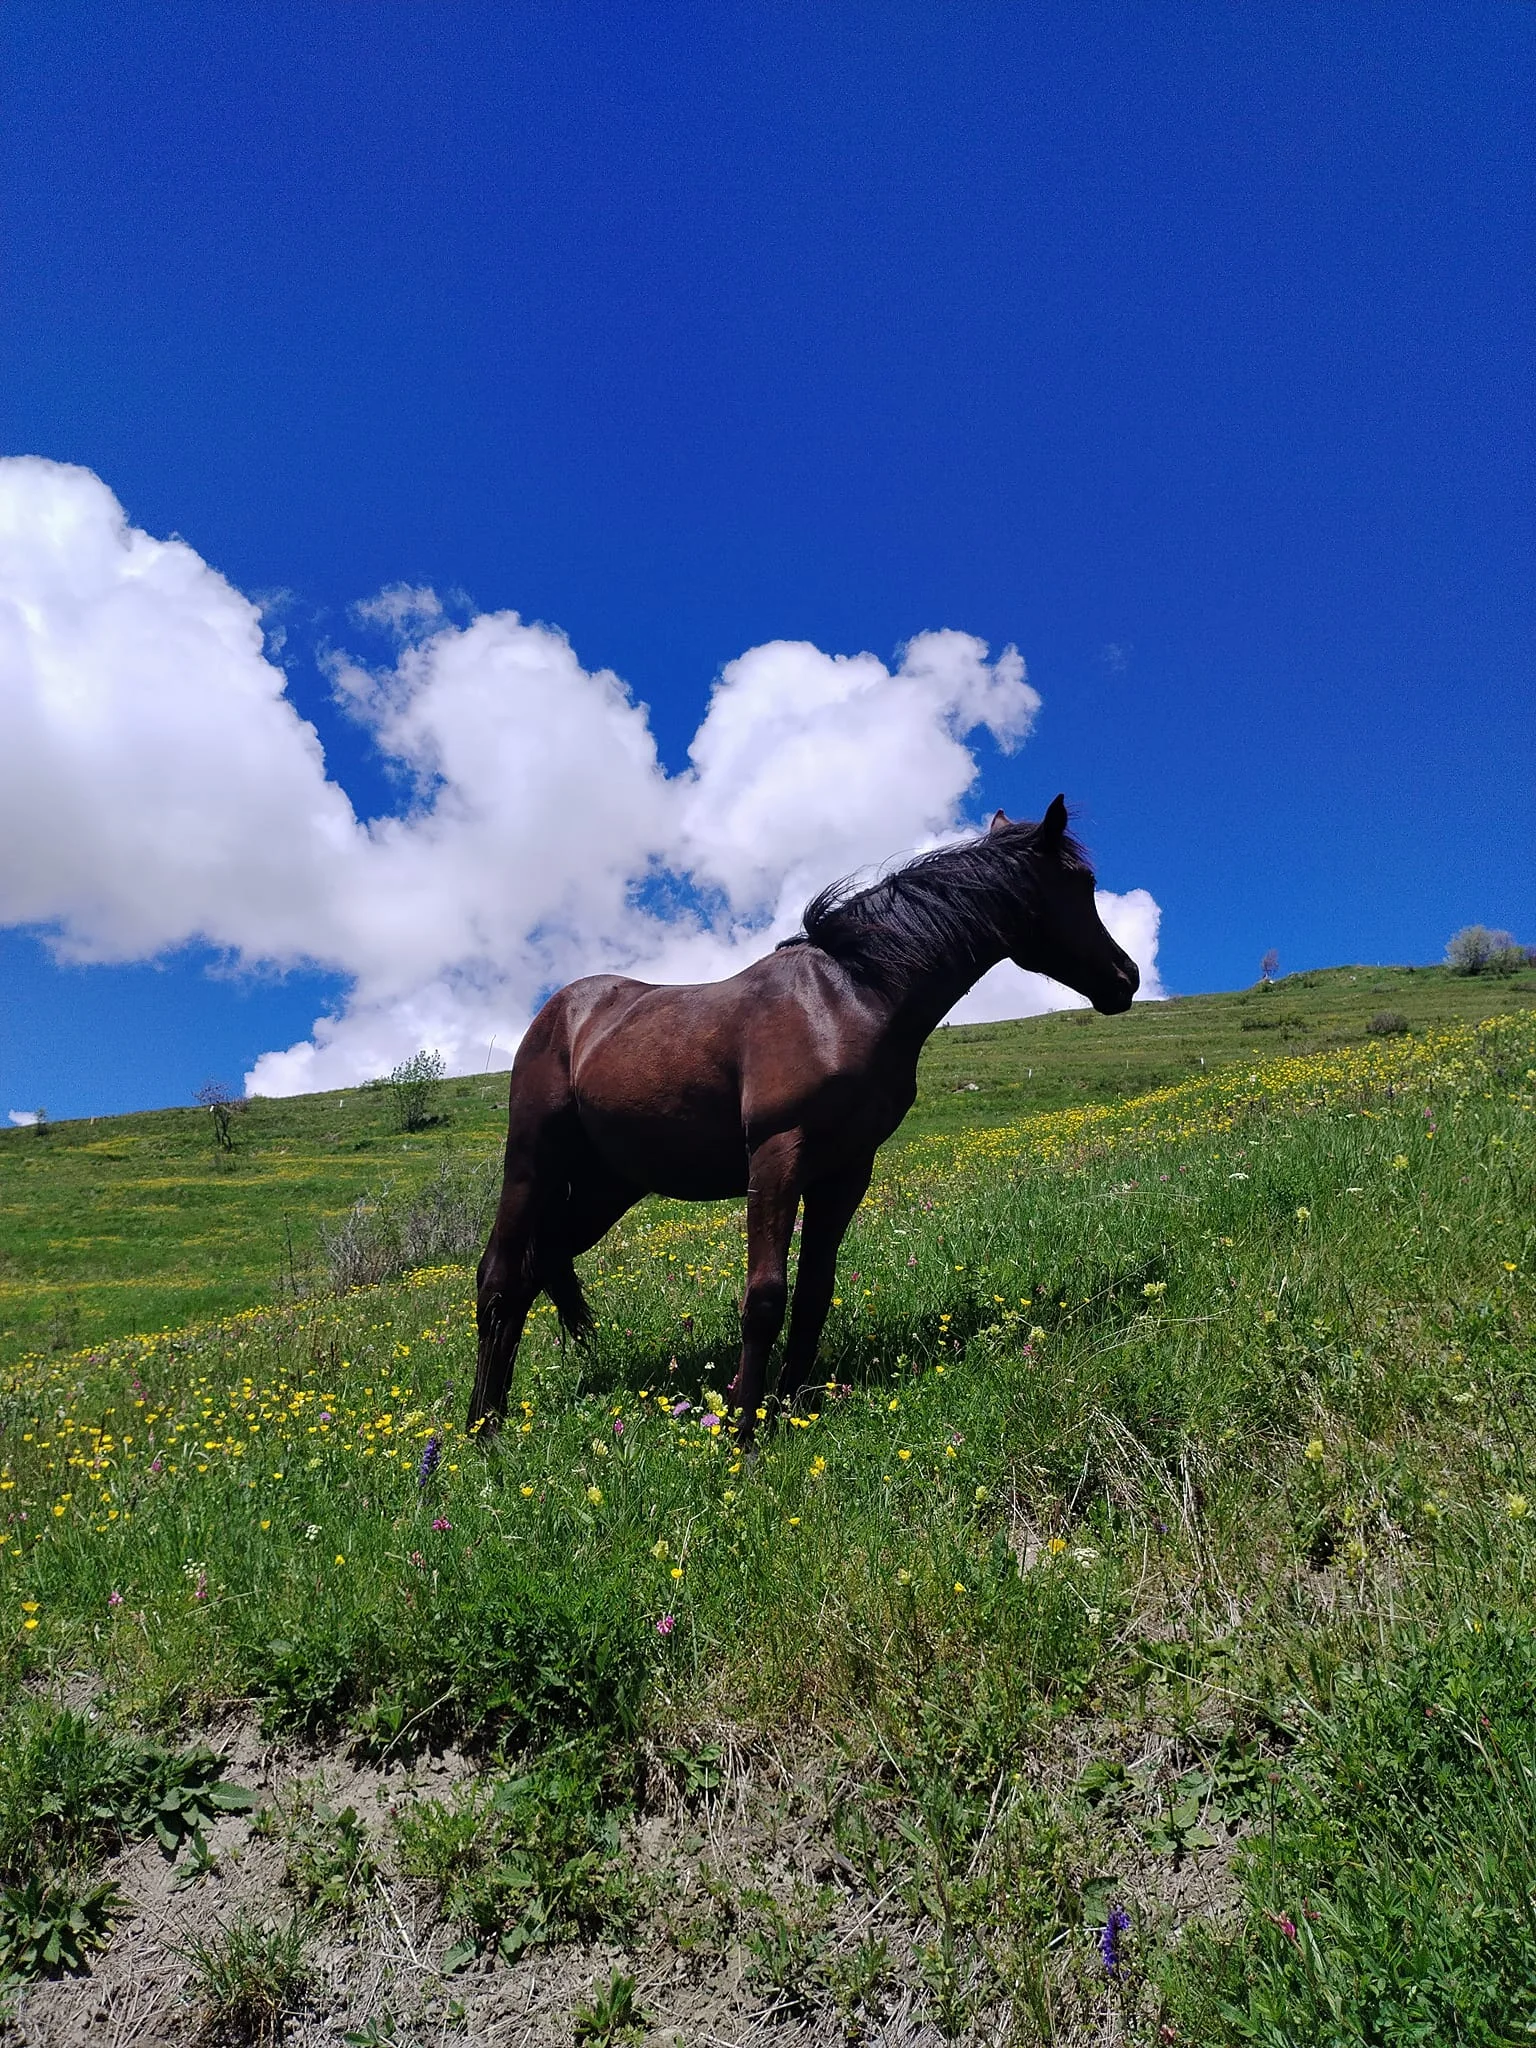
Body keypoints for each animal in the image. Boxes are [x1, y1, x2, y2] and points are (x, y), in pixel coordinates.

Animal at [469, 796, 1139, 1447]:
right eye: (1081, 884)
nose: (1126, 977)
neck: (852, 997)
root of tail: (560, 1011)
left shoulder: (845, 1170)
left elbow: (815, 1293)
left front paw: (788, 1409)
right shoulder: (777, 1157)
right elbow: (765, 1296)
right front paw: (742, 1432)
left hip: (609, 1186)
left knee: (536, 1267)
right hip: (531, 1161)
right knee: (498, 1277)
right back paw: (482, 1428)